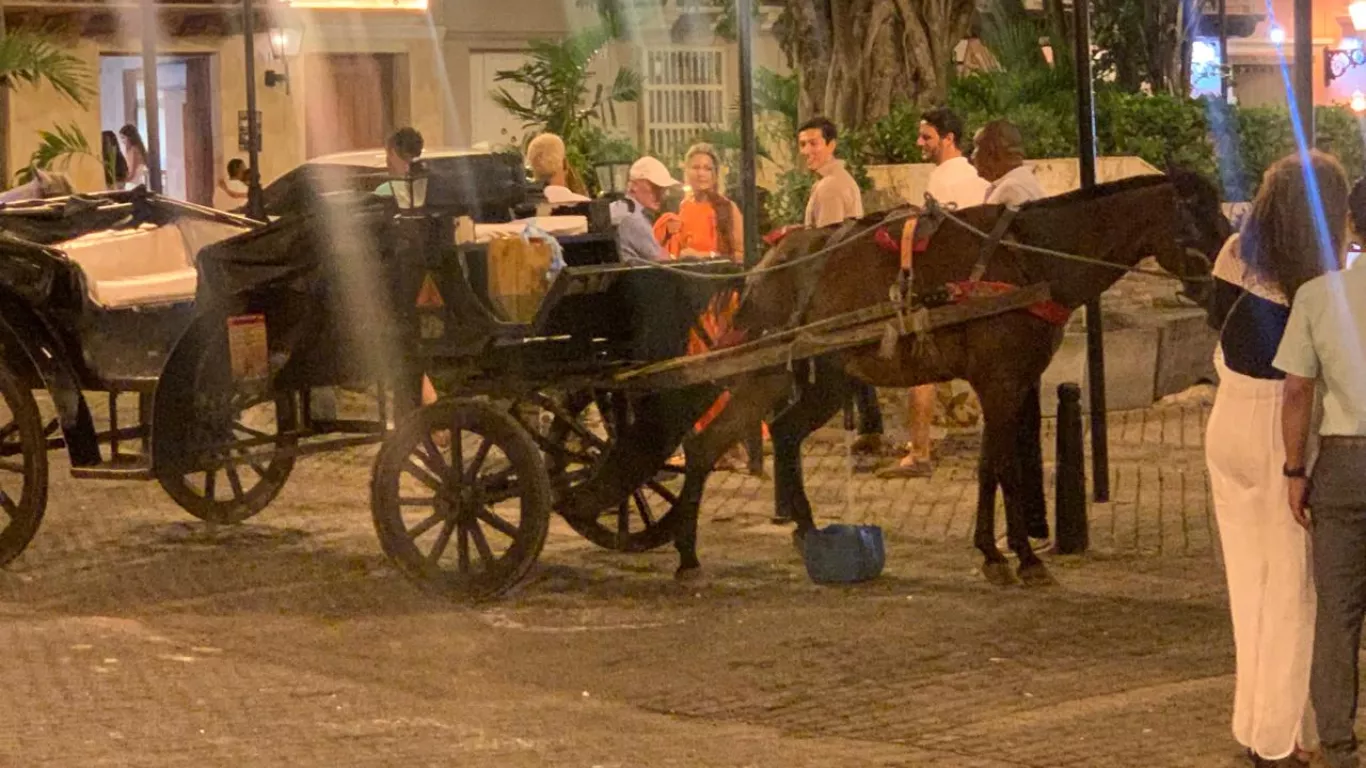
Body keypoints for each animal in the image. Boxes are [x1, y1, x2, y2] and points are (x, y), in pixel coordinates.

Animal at [644, 172, 1223, 579]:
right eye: (1197, 220)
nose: (1225, 289)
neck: (1032, 259)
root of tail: (768, 262)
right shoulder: (998, 381)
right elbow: (1003, 466)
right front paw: (1014, 556)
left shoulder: (1015, 382)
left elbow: (997, 466)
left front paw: (1001, 551)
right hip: (764, 373)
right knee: (705, 444)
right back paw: (688, 555)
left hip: (825, 377)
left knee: (784, 434)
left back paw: (808, 534)